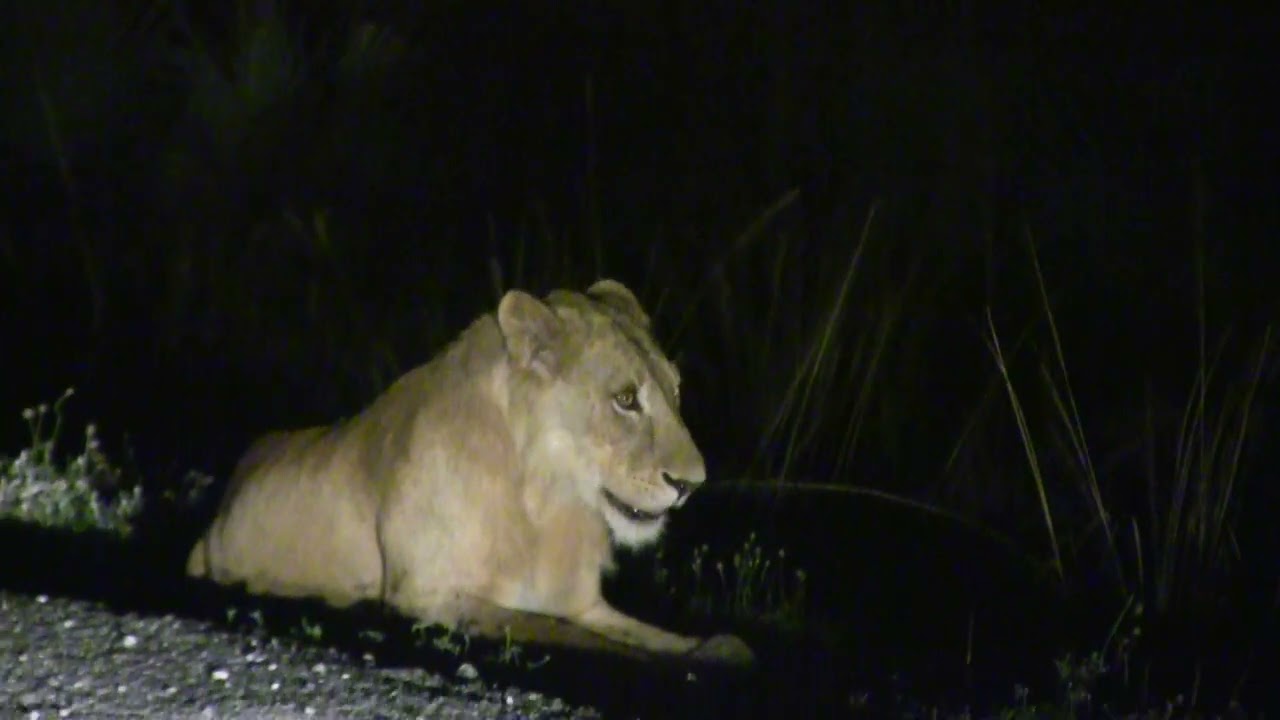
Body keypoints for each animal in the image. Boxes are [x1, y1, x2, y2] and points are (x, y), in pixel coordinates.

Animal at [186, 279, 753, 665]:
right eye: (626, 399)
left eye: (676, 391)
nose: (691, 484)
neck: (549, 505)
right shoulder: (430, 596)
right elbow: (568, 633)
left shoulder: (584, 602)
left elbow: (644, 634)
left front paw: (719, 646)